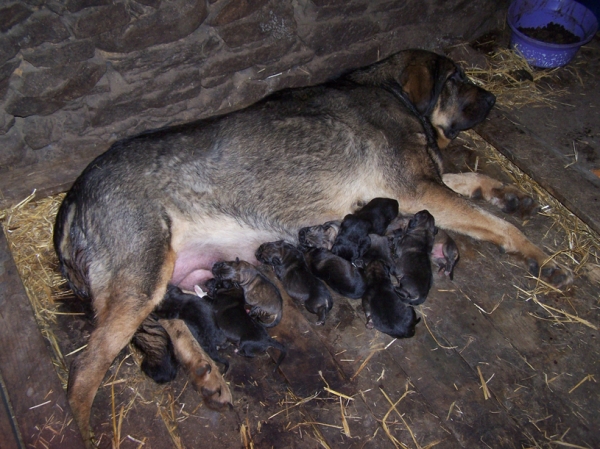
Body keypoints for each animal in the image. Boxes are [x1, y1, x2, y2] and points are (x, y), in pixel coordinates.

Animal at [52, 48, 572, 440]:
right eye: (458, 78)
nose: (494, 97)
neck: (390, 89)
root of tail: (72, 197)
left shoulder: (424, 188)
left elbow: (474, 182)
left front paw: (511, 195)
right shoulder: (417, 191)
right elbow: (499, 225)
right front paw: (543, 259)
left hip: (160, 280)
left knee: (174, 322)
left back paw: (206, 375)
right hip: (141, 278)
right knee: (82, 376)